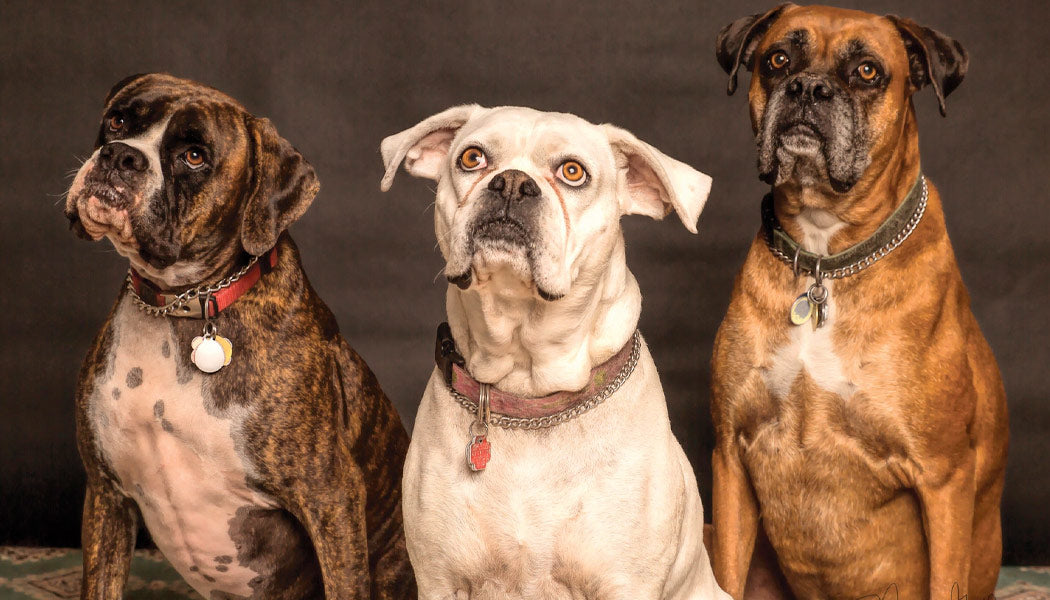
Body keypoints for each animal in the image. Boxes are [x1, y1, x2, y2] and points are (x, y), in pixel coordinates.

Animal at [63, 75, 415, 600]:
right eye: (118, 121)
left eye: (194, 156)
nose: (120, 156)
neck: (179, 304)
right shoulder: (107, 494)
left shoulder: (331, 497)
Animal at [380, 105, 730, 596]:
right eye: (472, 157)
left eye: (572, 171)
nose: (511, 183)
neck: (527, 388)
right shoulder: (438, 581)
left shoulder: (626, 583)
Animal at [713, 5, 1007, 600]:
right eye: (778, 59)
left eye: (867, 71)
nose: (808, 88)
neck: (825, 258)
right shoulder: (729, 454)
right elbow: (724, 576)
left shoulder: (944, 478)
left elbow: (946, 577)